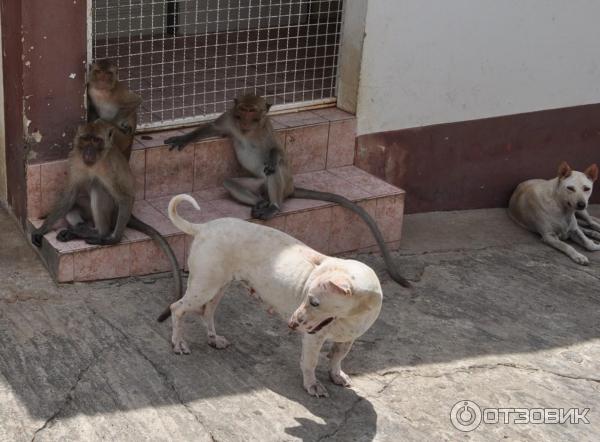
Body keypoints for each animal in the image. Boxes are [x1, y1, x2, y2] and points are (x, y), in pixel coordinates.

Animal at [31, 120, 182, 300]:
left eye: (96, 140)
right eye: (85, 139)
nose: (89, 152)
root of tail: (130, 215)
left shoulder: (110, 167)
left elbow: (125, 197)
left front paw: (114, 239)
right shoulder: (75, 159)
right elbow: (70, 195)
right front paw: (42, 229)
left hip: (116, 213)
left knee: (98, 187)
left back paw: (99, 233)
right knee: (74, 203)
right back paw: (79, 229)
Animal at [158, 193, 384, 398]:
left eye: (314, 302)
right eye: (308, 297)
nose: (291, 324)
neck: (352, 315)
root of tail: (204, 227)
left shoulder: (348, 338)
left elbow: (337, 357)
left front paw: (337, 374)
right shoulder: (313, 338)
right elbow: (310, 362)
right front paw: (312, 385)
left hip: (217, 287)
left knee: (207, 313)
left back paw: (214, 339)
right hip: (205, 286)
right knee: (176, 308)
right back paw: (178, 343)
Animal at [162, 94, 410, 286]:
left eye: (253, 111)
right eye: (242, 109)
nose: (245, 120)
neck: (247, 130)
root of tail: (290, 189)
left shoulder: (266, 128)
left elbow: (277, 151)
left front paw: (272, 157)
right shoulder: (229, 119)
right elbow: (211, 127)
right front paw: (184, 137)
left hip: (280, 183)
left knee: (275, 170)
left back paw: (273, 206)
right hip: (256, 184)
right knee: (230, 183)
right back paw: (259, 203)